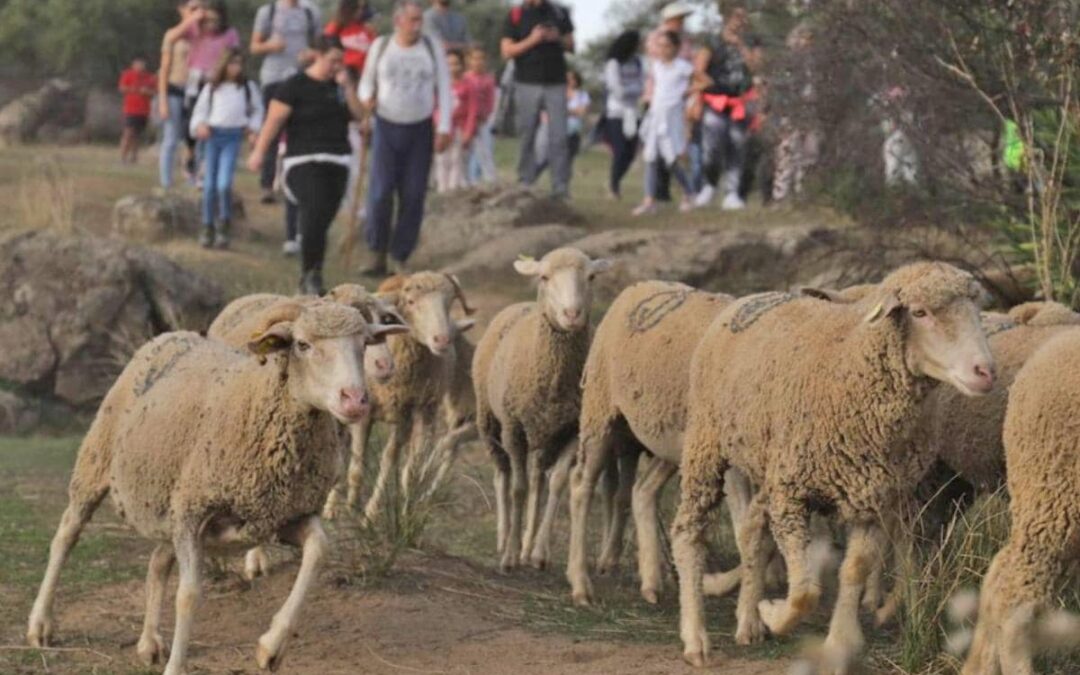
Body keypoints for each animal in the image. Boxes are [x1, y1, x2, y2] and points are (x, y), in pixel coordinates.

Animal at [26, 301, 407, 675]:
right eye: (302, 344)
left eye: (364, 344)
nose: (355, 400)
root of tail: (169, 335)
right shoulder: (194, 515)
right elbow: (189, 595)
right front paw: (177, 667)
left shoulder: (279, 516)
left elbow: (320, 549)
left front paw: (271, 647)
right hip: (97, 463)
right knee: (66, 535)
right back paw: (41, 624)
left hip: (171, 502)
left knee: (157, 562)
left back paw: (149, 641)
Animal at [473, 248, 610, 572]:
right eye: (545, 277)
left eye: (591, 277)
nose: (572, 314)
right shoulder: (513, 428)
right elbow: (518, 488)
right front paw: (509, 557)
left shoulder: (574, 430)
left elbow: (556, 483)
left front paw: (538, 552)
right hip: (490, 423)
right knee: (503, 475)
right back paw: (504, 537)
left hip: (543, 434)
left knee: (538, 481)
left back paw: (526, 544)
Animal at [567, 280, 741, 606]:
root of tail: (638, 286)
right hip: (602, 412)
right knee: (582, 485)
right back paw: (581, 584)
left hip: (670, 441)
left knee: (642, 490)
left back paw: (651, 580)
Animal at [673, 262, 995, 669]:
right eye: (920, 313)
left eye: (976, 310)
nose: (985, 371)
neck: (852, 371)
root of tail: (747, 298)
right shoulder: (791, 496)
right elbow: (805, 591)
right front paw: (773, 613)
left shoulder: (873, 496)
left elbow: (853, 570)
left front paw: (838, 641)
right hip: (706, 443)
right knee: (688, 533)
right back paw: (696, 637)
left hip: (770, 466)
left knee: (750, 533)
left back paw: (747, 621)